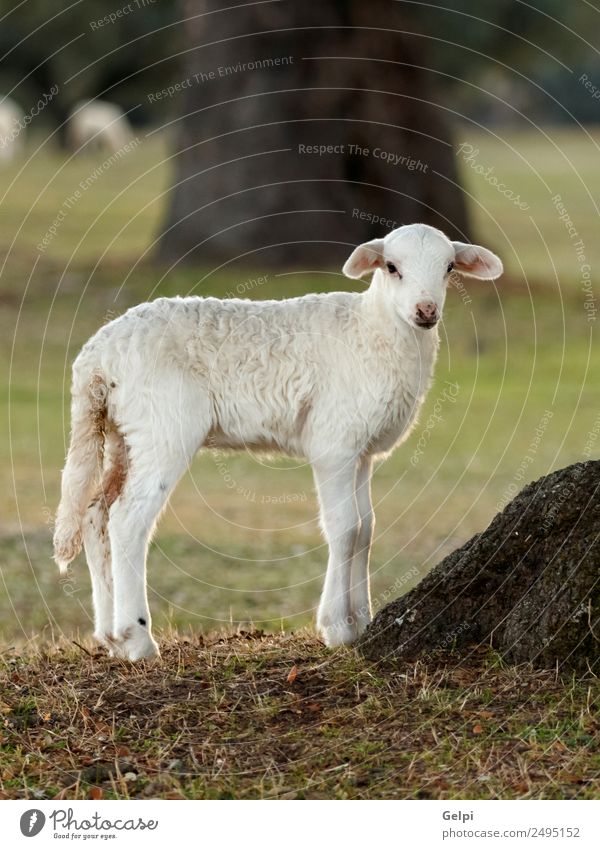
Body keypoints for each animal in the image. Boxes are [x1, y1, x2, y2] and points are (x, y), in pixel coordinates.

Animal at [54, 225, 504, 664]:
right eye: (392, 267)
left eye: (449, 268)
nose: (426, 311)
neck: (374, 330)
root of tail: (95, 357)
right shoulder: (334, 443)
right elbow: (344, 528)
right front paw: (337, 629)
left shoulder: (360, 451)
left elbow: (366, 528)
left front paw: (362, 621)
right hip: (163, 425)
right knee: (128, 518)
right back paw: (138, 640)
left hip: (121, 432)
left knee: (96, 513)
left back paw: (111, 637)